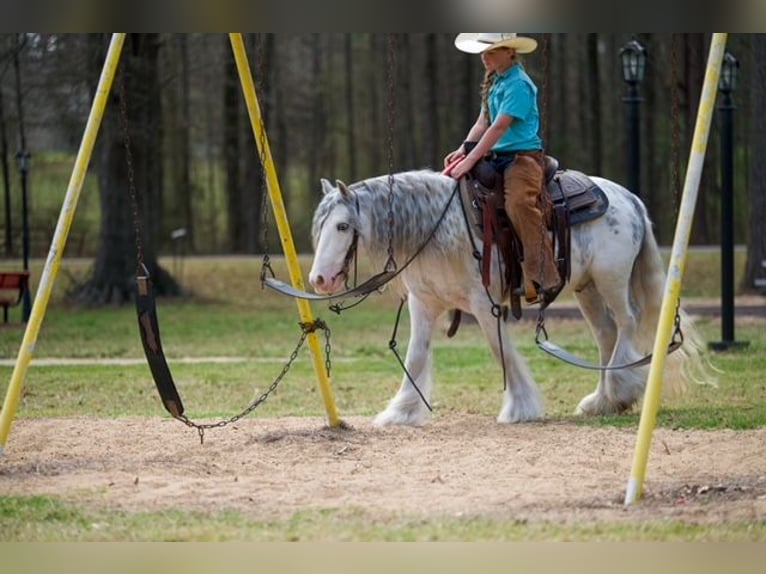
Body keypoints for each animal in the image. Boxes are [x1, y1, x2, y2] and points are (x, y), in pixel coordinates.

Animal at [308, 169, 705, 426]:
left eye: (342, 226)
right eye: (320, 226)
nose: (319, 279)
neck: (440, 229)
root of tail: (629, 198)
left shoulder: (484, 306)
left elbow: (502, 353)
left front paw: (521, 408)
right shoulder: (424, 304)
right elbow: (416, 355)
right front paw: (401, 412)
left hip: (612, 280)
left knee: (627, 322)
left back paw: (622, 391)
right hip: (587, 288)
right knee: (607, 333)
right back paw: (602, 401)